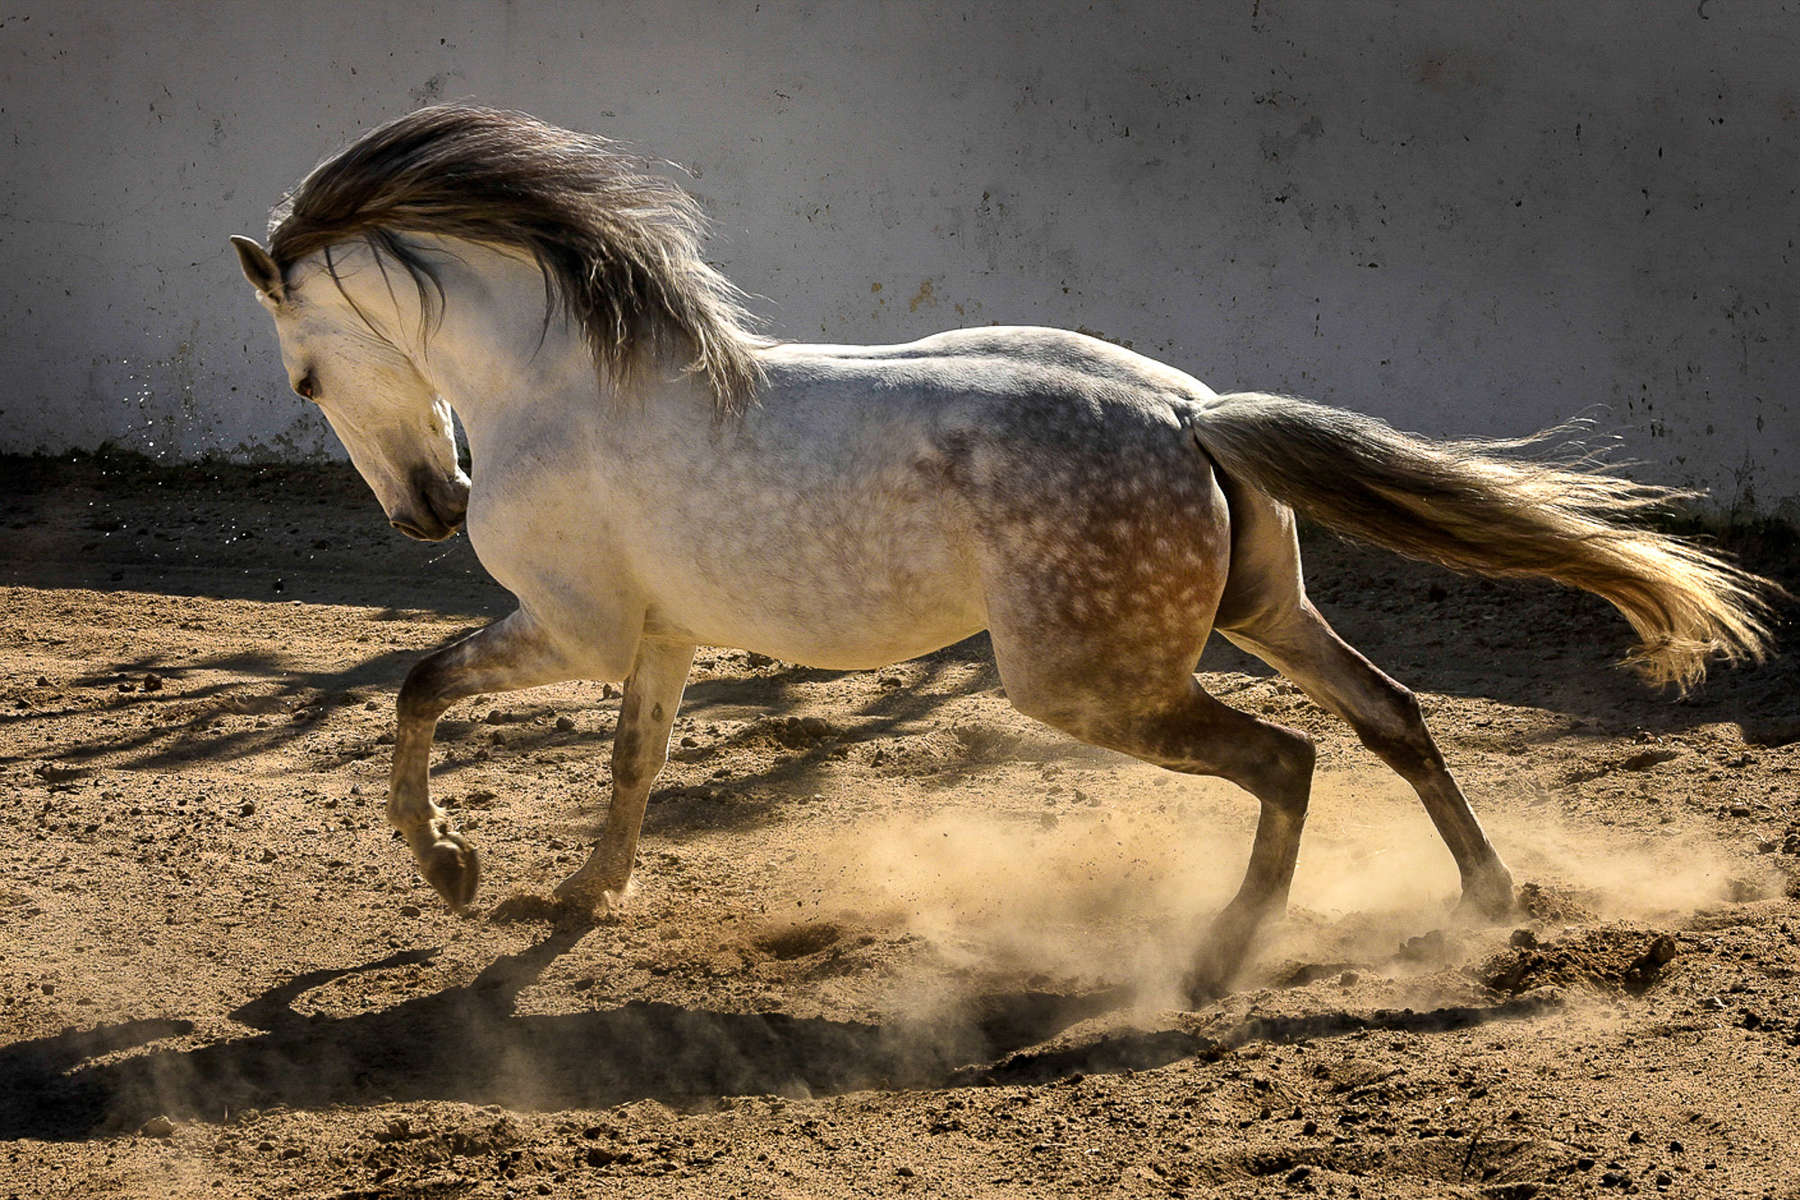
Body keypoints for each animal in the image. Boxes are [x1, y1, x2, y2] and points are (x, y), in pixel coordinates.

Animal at [232, 107, 1778, 1000]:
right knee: (1392, 715)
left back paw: (1221, 958)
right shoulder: (661, 641)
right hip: (1264, 613)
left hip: (1089, 684)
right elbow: (632, 766)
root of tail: (1188, 411)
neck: (565, 388)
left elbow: (419, 686)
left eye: (302, 377)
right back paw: (1488, 904)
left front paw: (450, 870)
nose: (429, 510)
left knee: (1289, 760)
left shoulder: (574, 628)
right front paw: (579, 897)